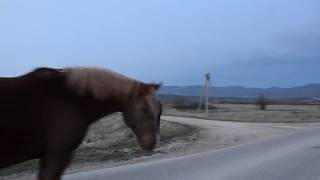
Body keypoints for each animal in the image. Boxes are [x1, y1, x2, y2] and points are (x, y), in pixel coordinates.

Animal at [0, 67, 160, 180]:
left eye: (158, 109)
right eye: (144, 108)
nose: (152, 143)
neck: (69, 99)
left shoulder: (47, 157)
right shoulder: (58, 155)